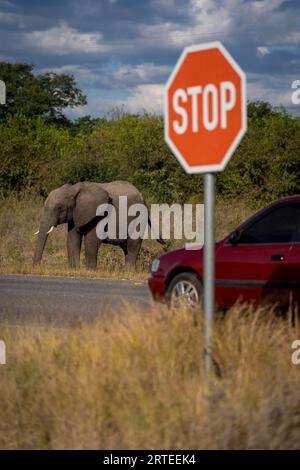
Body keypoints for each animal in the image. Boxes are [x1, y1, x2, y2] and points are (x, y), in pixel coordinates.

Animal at [33, 179, 163, 268]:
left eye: (60, 208)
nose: (37, 266)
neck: (73, 189)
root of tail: (143, 198)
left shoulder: (98, 214)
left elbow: (91, 240)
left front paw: (90, 270)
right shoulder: (75, 214)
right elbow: (72, 239)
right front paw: (75, 269)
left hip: (138, 217)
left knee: (133, 245)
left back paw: (128, 272)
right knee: (125, 246)